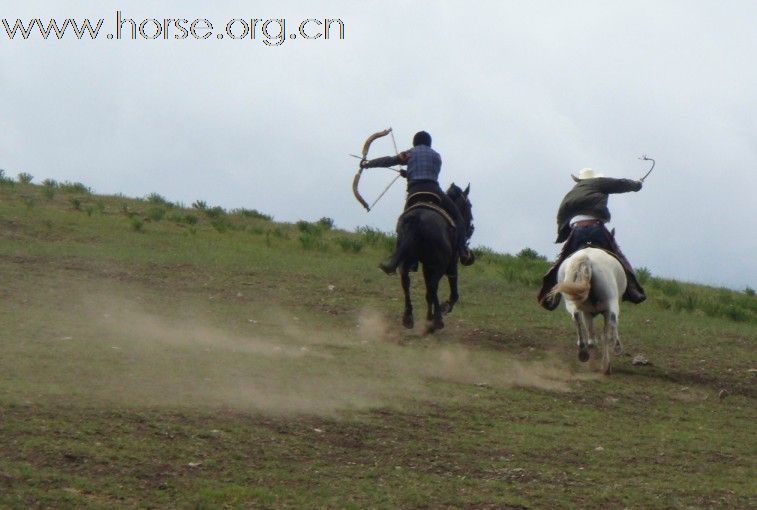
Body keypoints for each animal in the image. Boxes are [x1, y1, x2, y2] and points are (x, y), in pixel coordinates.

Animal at [392, 185, 470, 332]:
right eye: (469, 206)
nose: (471, 228)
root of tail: (417, 219)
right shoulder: (450, 263)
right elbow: (450, 291)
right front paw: (443, 309)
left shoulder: (427, 265)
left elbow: (429, 292)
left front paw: (429, 317)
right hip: (440, 264)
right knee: (432, 287)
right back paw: (437, 321)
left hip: (406, 260)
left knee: (406, 282)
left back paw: (409, 318)